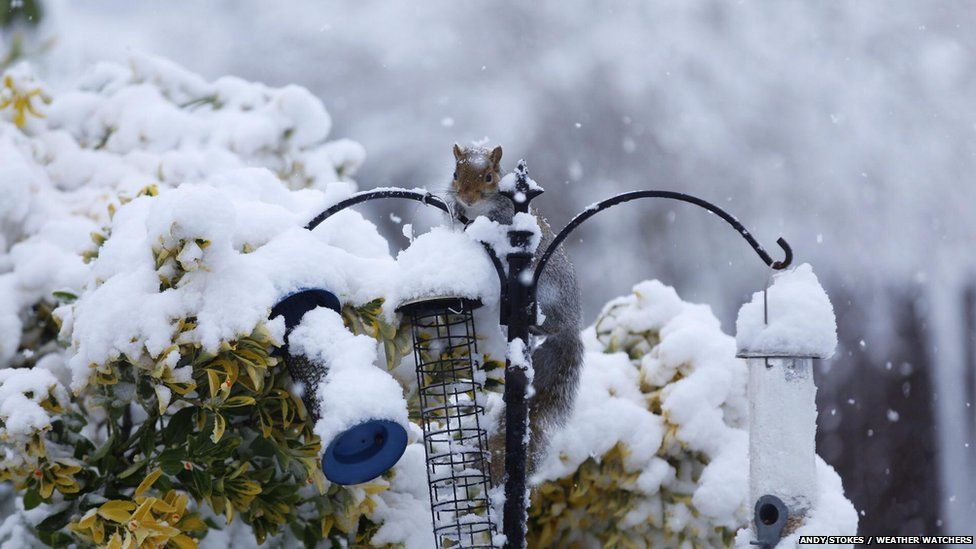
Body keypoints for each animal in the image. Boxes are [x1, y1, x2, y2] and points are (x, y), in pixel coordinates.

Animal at [446, 143, 584, 482]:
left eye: (489, 177)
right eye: (455, 173)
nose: (467, 198)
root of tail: (572, 325)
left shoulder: (505, 217)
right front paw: (457, 209)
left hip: (546, 295)